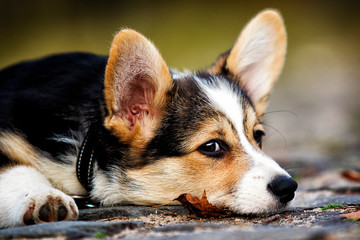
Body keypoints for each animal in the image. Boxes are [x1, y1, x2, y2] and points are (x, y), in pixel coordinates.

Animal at [0, 8, 298, 227]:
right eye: (211, 146)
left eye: (258, 137)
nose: (289, 187)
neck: (90, 148)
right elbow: (17, 169)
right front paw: (44, 198)